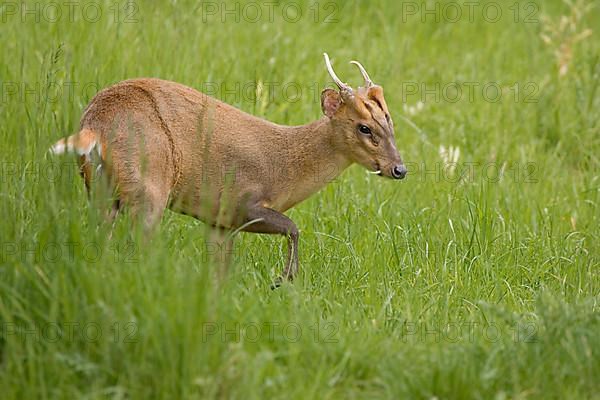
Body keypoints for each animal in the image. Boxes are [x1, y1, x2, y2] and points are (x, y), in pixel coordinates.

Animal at [51, 54, 406, 284]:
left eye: (390, 122)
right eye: (364, 127)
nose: (399, 169)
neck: (284, 168)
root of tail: (93, 126)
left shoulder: (219, 220)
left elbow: (221, 268)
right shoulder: (243, 201)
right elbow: (293, 227)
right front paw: (283, 280)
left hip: (99, 189)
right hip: (148, 186)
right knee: (139, 243)